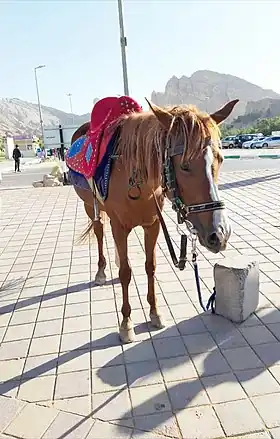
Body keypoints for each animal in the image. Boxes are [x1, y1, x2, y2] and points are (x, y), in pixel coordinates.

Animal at [70, 99, 238, 344]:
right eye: (184, 165)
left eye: (220, 159)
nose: (220, 233)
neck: (135, 175)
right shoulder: (119, 227)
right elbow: (126, 273)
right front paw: (126, 323)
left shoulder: (153, 225)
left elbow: (151, 267)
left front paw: (155, 313)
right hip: (90, 207)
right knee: (99, 232)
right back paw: (101, 272)